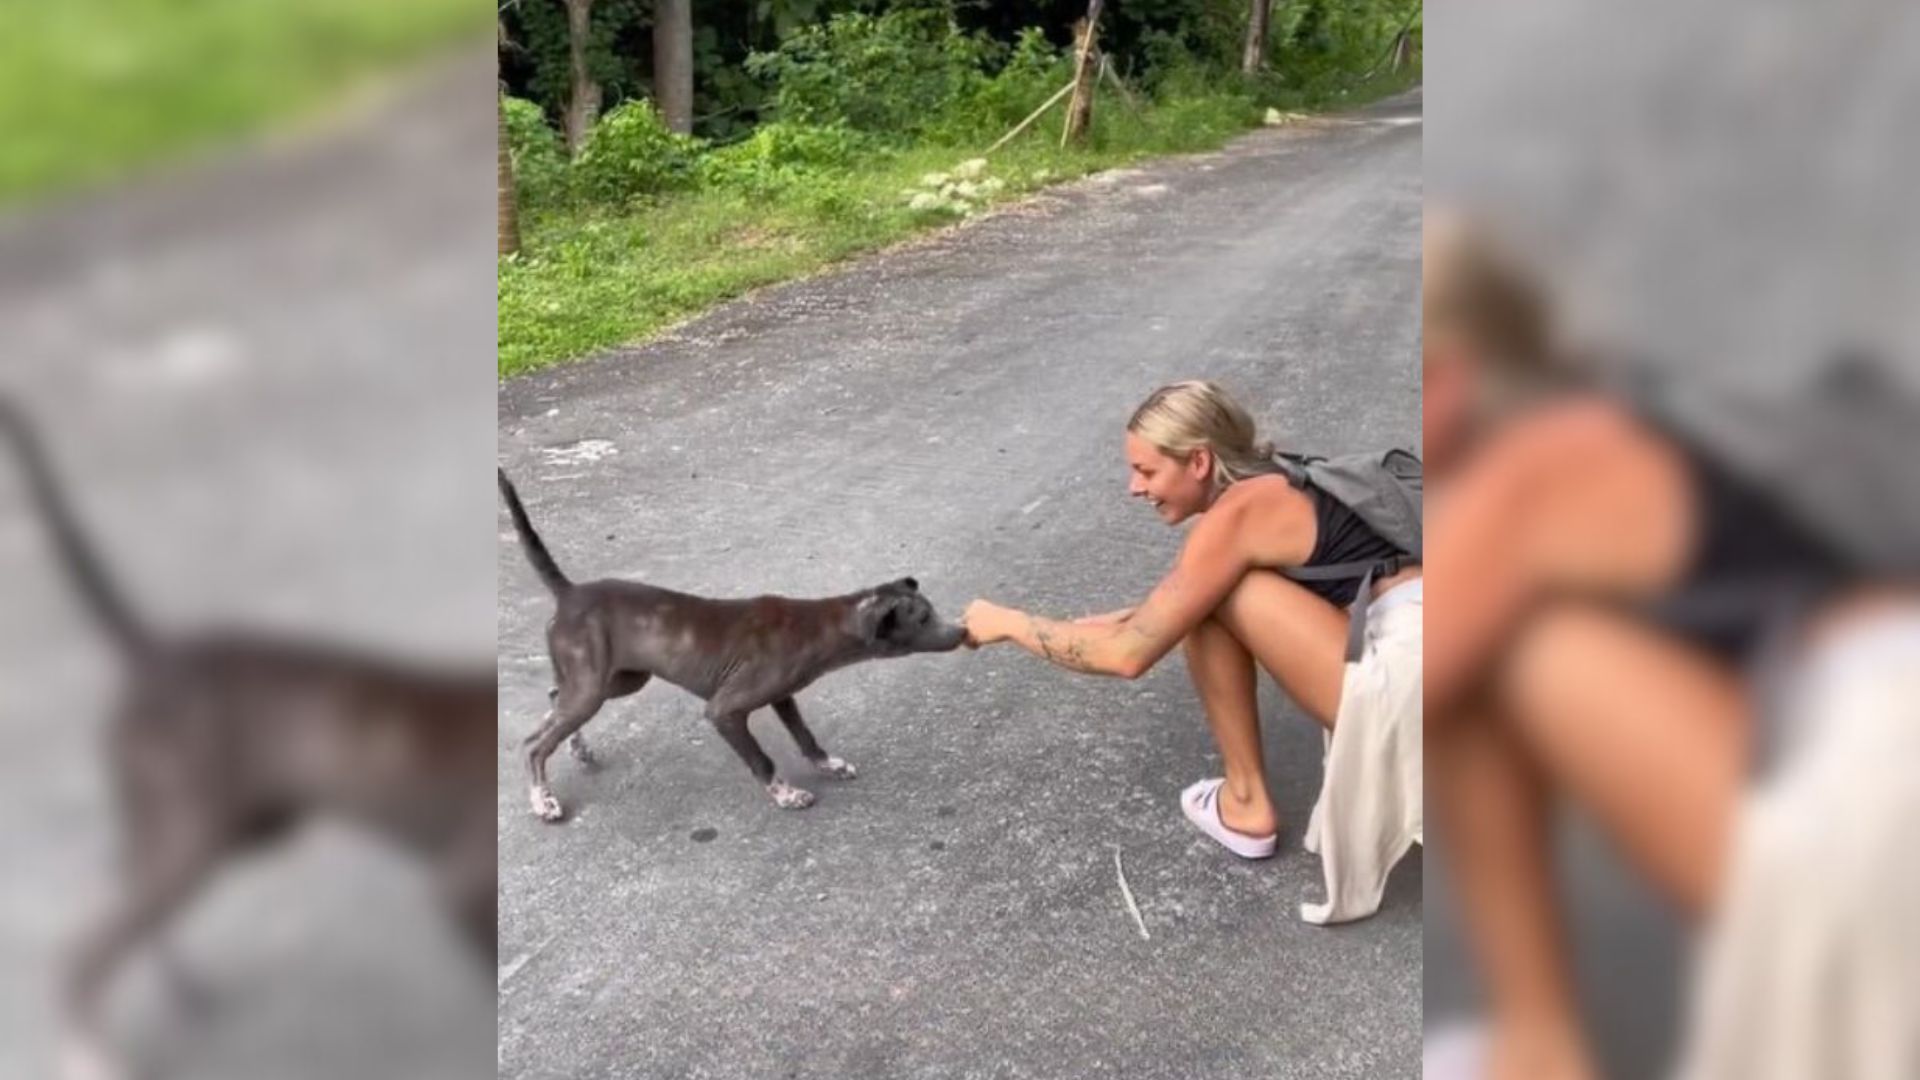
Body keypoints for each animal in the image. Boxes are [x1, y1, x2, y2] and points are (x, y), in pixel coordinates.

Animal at [0, 395, 503, 1076]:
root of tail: (156, 653)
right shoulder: (461, 883)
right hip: (189, 831)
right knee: (79, 952)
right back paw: (93, 1056)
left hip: (218, 825)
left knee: (116, 879)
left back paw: (185, 994)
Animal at [499, 468, 967, 814]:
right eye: (923, 618)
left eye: (930, 608)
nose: (963, 631)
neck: (820, 623)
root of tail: (569, 592)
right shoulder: (725, 710)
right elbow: (762, 759)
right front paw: (786, 793)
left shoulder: (783, 696)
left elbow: (805, 736)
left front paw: (828, 764)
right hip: (593, 686)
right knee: (534, 745)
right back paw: (543, 798)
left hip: (620, 678)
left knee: (554, 698)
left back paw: (576, 748)